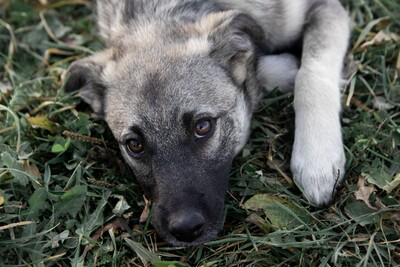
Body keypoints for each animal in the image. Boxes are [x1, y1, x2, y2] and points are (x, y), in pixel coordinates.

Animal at [63, 0, 350, 247]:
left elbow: (311, 73)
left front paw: (317, 157)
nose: (185, 229)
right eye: (134, 145)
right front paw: (276, 69)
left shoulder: (325, 9)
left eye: (203, 126)